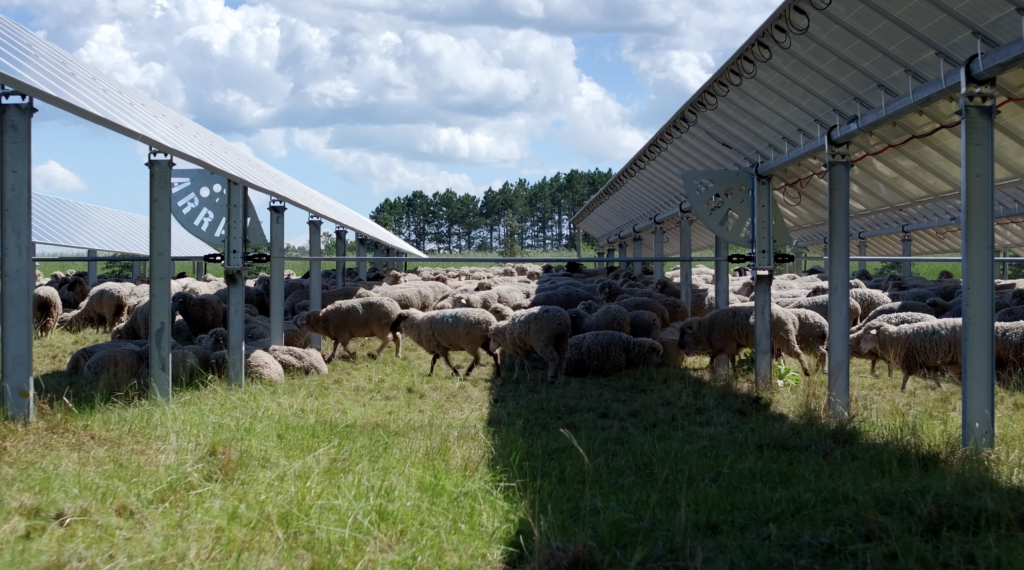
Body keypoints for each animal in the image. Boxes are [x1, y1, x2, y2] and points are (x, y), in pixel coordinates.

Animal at [678, 305, 811, 378]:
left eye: (683, 333)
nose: (679, 346)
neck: (707, 329)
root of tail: (792, 318)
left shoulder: (729, 344)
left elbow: (732, 361)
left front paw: (735, 374)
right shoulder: (722, 345)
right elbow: (713, 356)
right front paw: (708, 367)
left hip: (786, 338)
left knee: (798, 353)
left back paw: (806, 371)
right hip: (778, 343)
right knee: (781, 357)